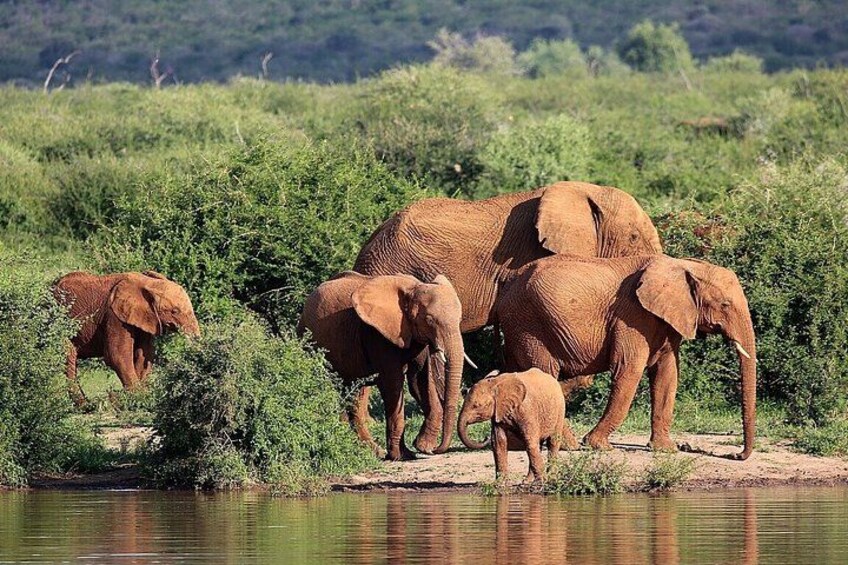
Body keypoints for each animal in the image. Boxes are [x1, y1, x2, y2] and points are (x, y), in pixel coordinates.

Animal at [53, 270, 201, 404]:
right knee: (68, 354)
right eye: (175, 311)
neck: (148, 283)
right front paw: (140, 397)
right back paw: (85, 405)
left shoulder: (144, 317)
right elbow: (116, 355)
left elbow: (144, 354)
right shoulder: (114, 315)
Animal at [298, 271, 468, 461]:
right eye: (429, 320)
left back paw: (371, 451)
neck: (414, 288)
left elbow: (419, 381)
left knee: (354, 395)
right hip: (308, 340)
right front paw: (401, 455)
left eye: (460, 319)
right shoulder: (378, 335)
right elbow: (392, 384)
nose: (436, 450)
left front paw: (420, 447)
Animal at [494, 255, 757, 460]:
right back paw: (570, 445)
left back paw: (520, 444)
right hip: (530, 325)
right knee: (544, 374)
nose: (735, 455)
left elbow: (667, 374)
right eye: (725, 304)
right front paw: (599, 446)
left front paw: (666, 450)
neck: (683, 265)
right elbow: (628, 368)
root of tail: (507, 284)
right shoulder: (631, 315)